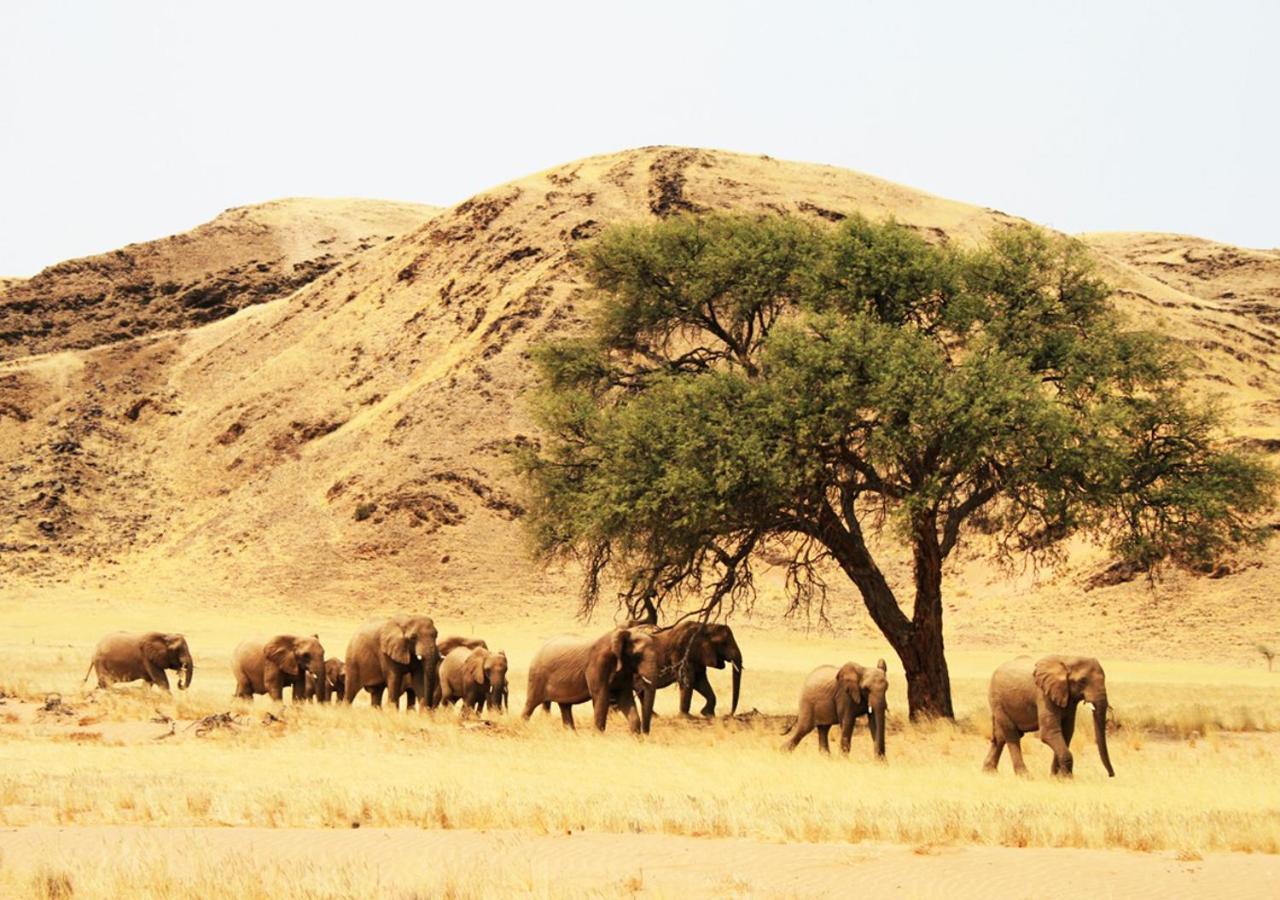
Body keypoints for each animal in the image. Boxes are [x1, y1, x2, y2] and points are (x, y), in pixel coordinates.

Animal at [519, 627, 660, 732]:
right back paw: (521, 728)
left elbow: (625, 697)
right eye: (638, 655)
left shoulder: (624, 669)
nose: (646, 734)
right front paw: (598, 738)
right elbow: (601, 697)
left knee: (565, 706)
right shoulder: (597, 664)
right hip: (536, 676)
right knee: (530, 704)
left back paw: (571, 735)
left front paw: (636, 739)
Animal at [983, 660, 1116, 778]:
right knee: (1011, 734)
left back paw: (989, 772)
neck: (1067, 660)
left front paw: (1055, 777)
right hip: (997, 700)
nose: (1111, 775)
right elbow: (1049, 733)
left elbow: (1066, 732)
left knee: (1000, 737)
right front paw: (1067, 778)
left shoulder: (1068, 698)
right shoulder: (1043, 695)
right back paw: (1024, 776)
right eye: (1082, 681)